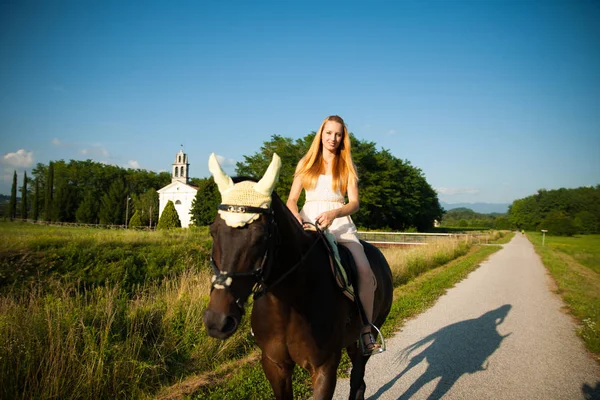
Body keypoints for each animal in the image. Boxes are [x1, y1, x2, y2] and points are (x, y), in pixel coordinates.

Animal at [203, 154, 394, 400]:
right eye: (213, 231)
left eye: (261, 235)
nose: (217, 321)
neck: (289, 304)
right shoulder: (275, 365)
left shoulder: (324, 368)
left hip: (364, 341)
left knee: (358, 381)